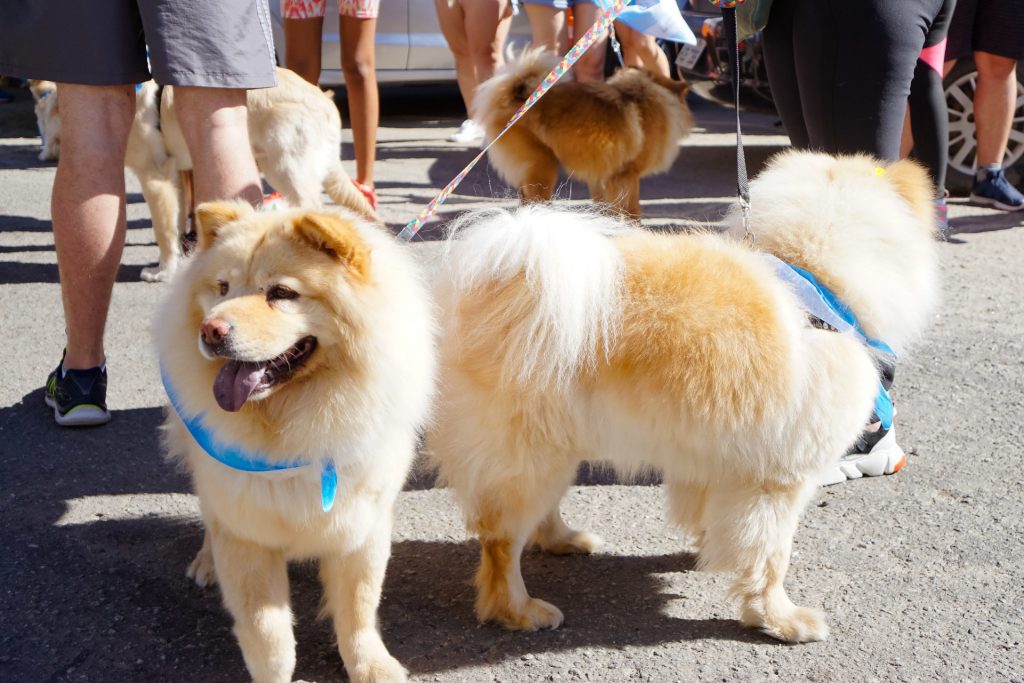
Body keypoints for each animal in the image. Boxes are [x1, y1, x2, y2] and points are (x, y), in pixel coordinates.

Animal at [155, 200, 436, 679]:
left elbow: (359, 608)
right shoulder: (246, 533)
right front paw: (278, 673)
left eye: (282, 293)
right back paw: (206, 563)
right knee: (209, 517)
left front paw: (371, 667)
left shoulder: (362, 525)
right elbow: (268, 634)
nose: (211, 330)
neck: (297, 420)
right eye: (222, 288)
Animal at [428, 150, 937, 647]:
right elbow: (771, 557)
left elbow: (718, 521)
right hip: (529, 453)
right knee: (500, 543)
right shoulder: (779, 478)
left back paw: (564, 540)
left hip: (555, 447)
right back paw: (520, 610)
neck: (815, 273)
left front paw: (711, 552)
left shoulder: (717, 458)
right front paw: (779, 619)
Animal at [475, 48, 692, 219]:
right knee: (535, 201)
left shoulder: (603, 176)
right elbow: (632, 211)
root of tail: (514, 98)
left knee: (525, 200)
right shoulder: (627, 175)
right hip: (542, 165)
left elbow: (607, 208)